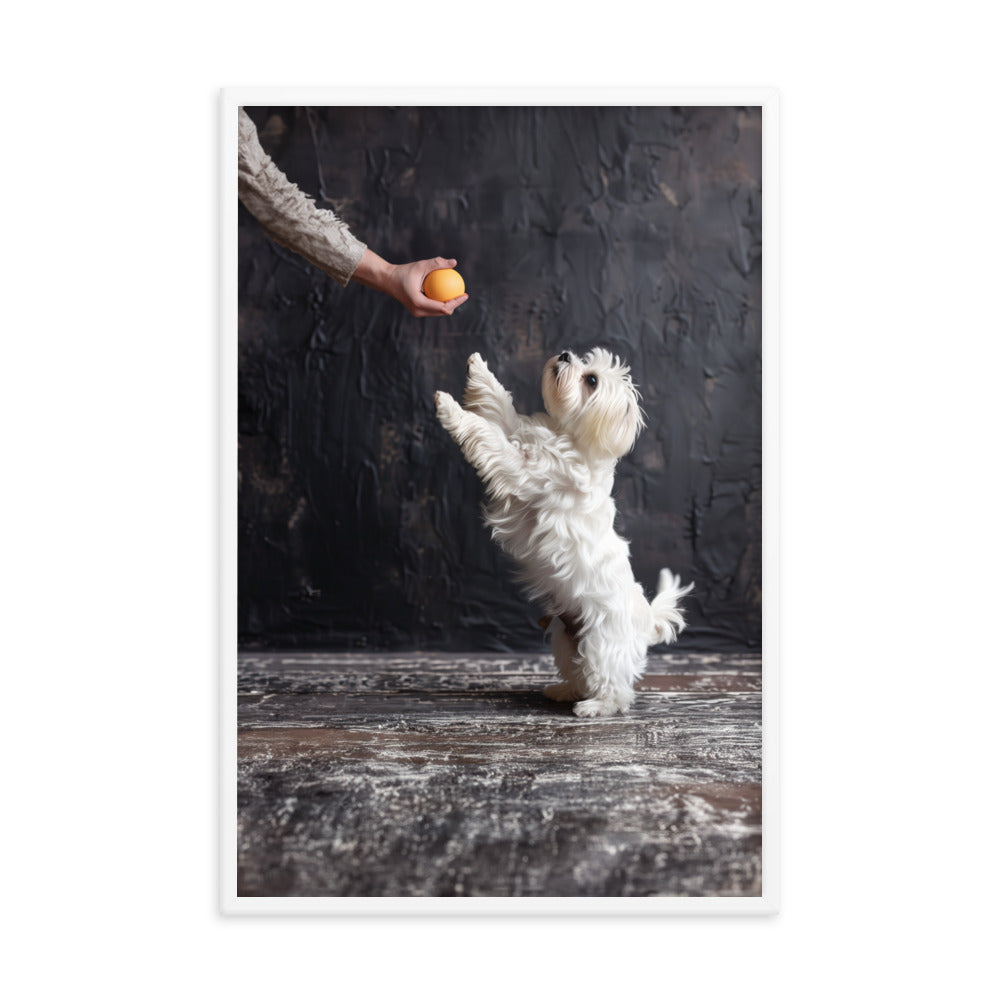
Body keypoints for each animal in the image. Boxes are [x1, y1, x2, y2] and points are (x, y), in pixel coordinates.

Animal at [434, 348, 692, 716]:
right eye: (584, 360)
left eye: (591, 380)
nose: (566, 354)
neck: (567, 437)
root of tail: (646, 619)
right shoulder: (519, 435)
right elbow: (499, 406)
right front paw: (479, 369)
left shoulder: (518, 466)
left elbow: (487, 434)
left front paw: (449, 407)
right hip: (565, 640)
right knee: (579, 673)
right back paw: (564, 691)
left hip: (602, 644)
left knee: (616, 689)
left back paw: (594, 707)